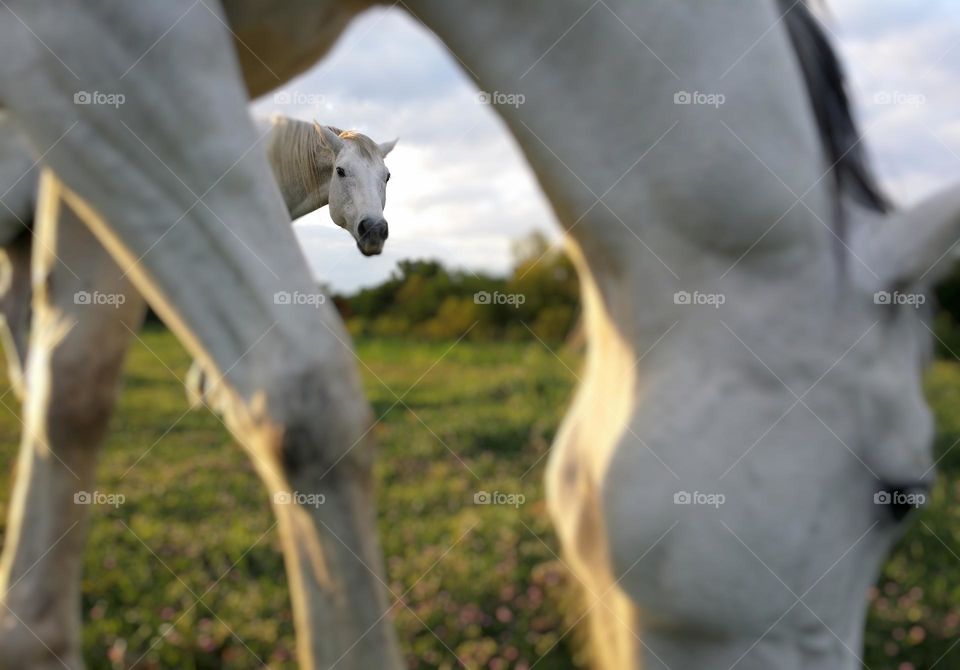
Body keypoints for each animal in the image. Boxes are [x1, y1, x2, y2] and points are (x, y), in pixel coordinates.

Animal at [0, 1, 956, 669]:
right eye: (901, 497)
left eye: (388, 177)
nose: (377, 234)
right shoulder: (106, 48)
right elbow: (302, 403)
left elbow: (75, 384)